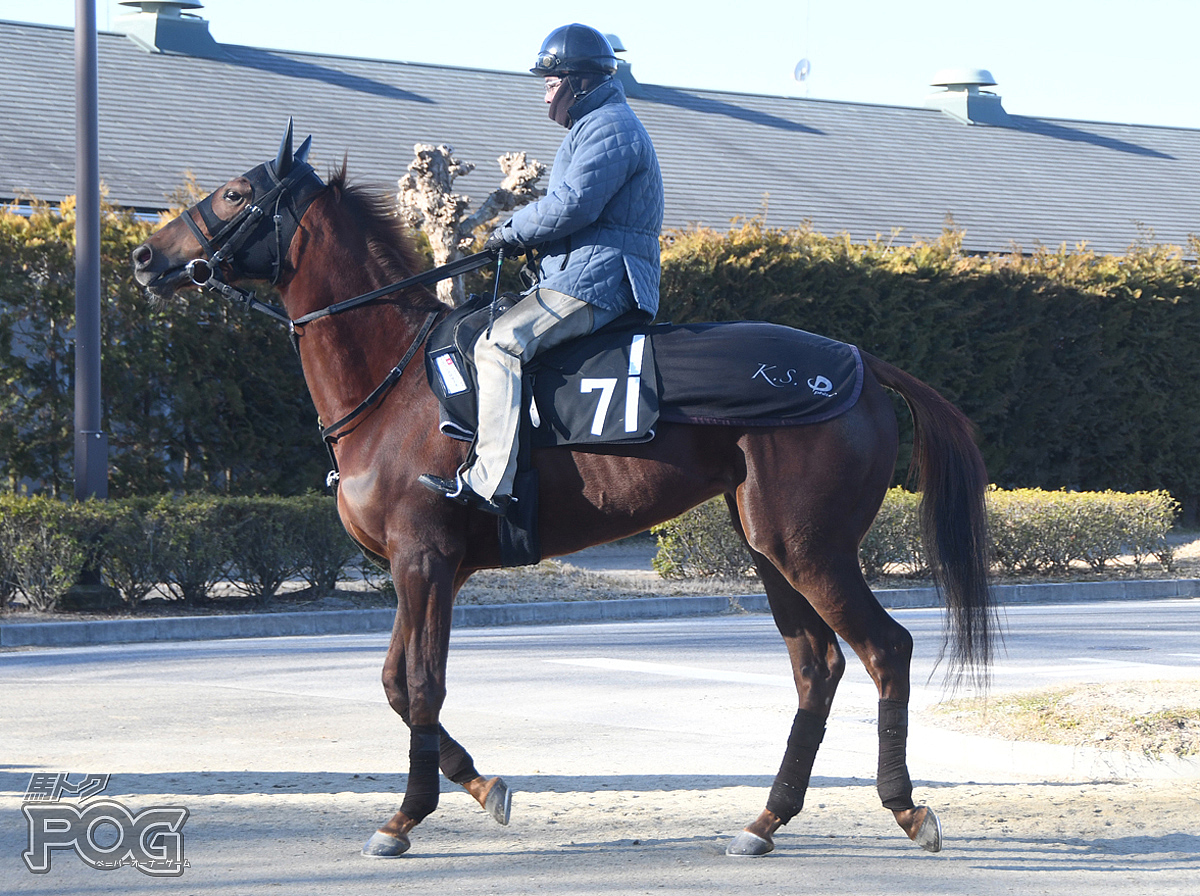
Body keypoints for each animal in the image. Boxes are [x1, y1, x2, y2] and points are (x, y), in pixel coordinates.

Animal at [131, 125, 993, 863]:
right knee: (817, 667)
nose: (142, 256)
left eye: (236, 194)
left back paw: (906, 808)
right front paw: (483, 786)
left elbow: (421, 685)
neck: (399, 382)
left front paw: (406, 816)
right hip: (768, 548)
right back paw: (765, 821)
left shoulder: (424, 559)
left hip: (810, 548)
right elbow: (398, 685)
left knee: (886, 649)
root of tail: (856, 362)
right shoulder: (422, 571)